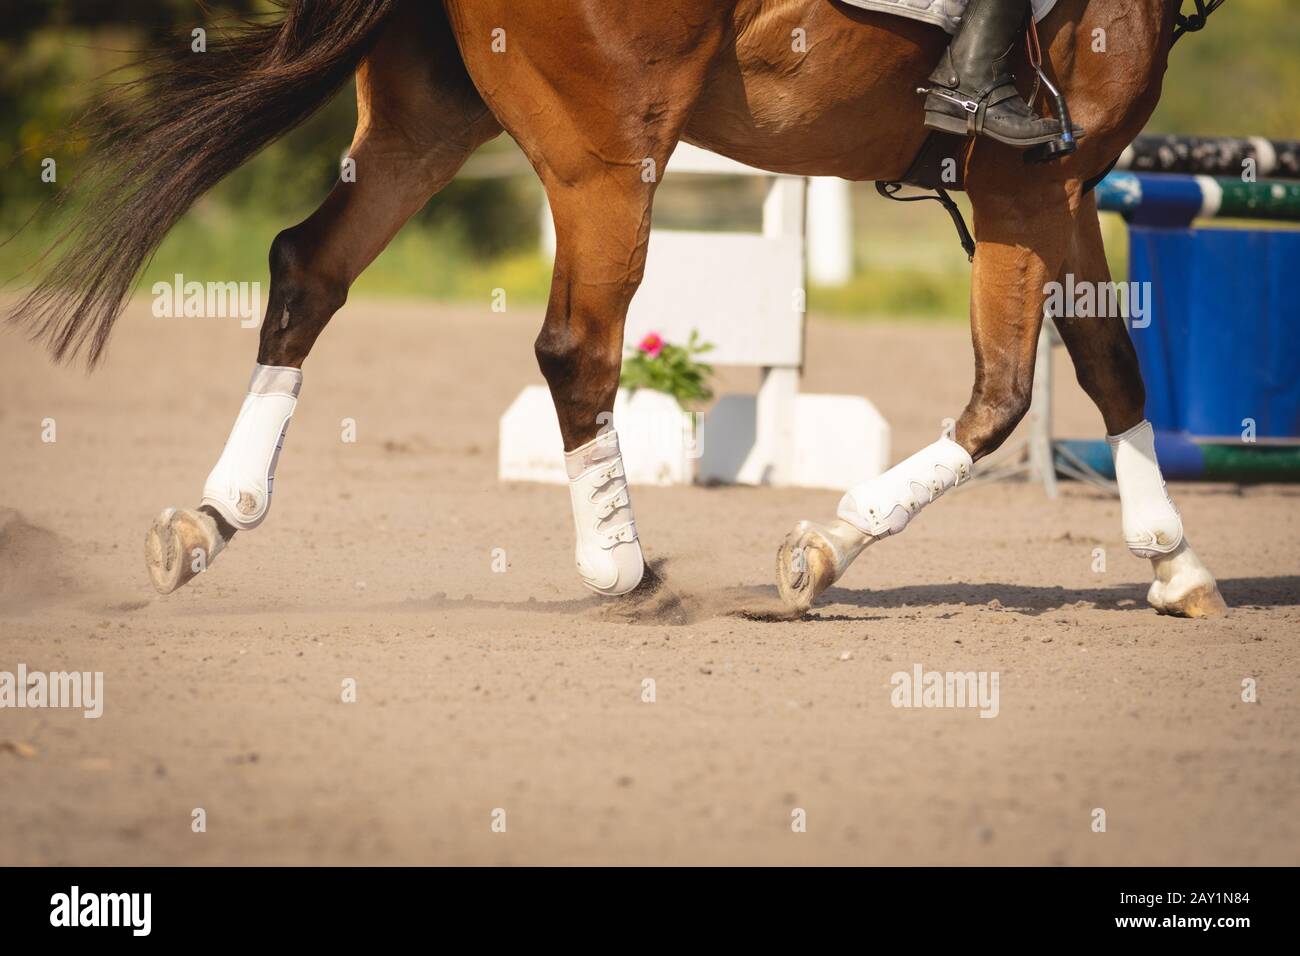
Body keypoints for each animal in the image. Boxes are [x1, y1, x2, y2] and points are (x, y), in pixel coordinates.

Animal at [7, 0, 1227, 616]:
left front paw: (1174, 563)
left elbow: (1111, 367)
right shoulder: (1027, 182)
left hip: (430, 118)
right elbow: (1002, 396)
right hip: (609, 152)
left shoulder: (1067, 188)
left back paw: (214, 516)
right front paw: (821, 547)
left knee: (309, 269)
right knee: (577, 349)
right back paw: (621, 570)